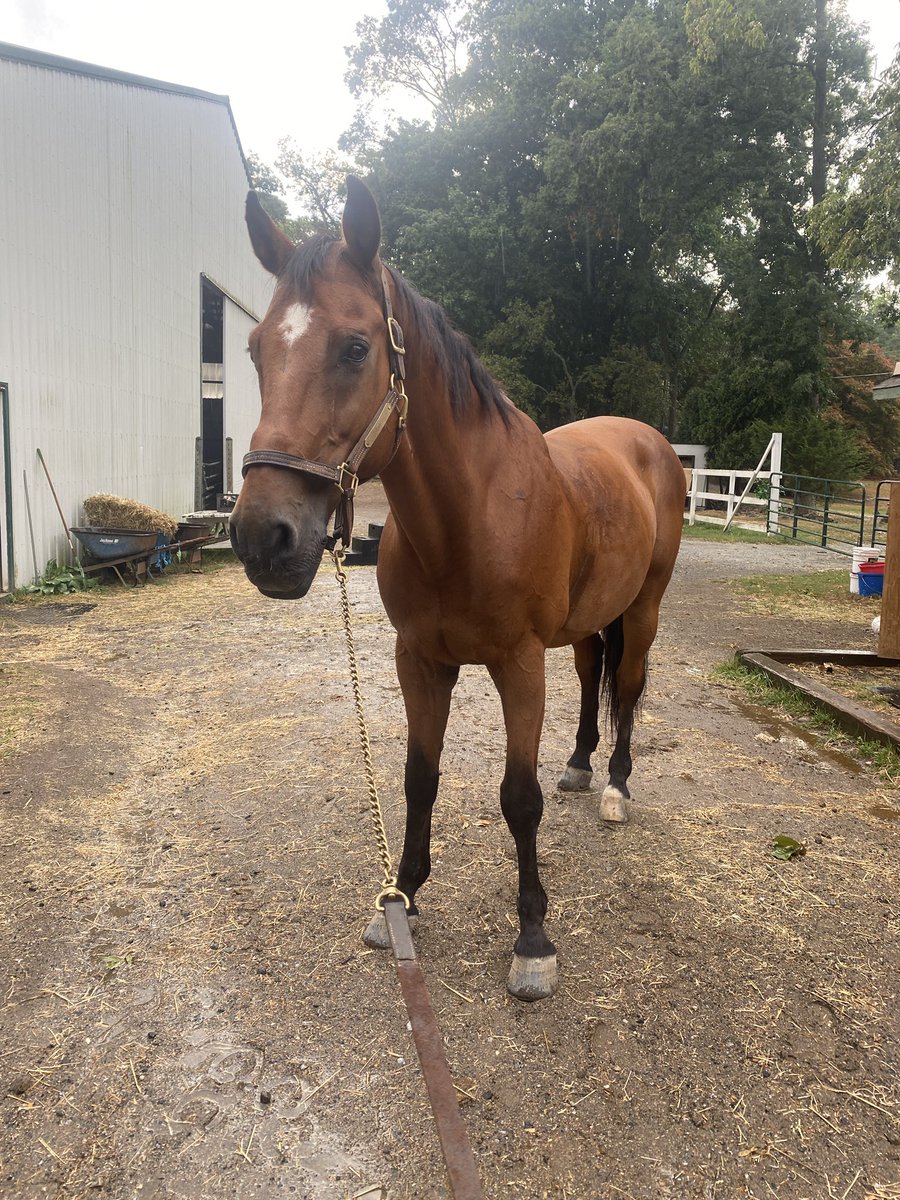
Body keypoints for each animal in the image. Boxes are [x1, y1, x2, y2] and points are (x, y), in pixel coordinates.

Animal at [230, 177, 686, 1001]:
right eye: (255, 350)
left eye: (355, 347)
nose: (262, 539)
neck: (468, 518)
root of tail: (648, 442)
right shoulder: (420, 661)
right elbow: (419, 779)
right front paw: (402, 899)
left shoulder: (519, 664)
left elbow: (518, 798)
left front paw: (533, 940)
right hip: (584, 628)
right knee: (592, 680)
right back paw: (580, 766)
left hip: (644, 609)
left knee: (628, 689)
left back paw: (615, 788)